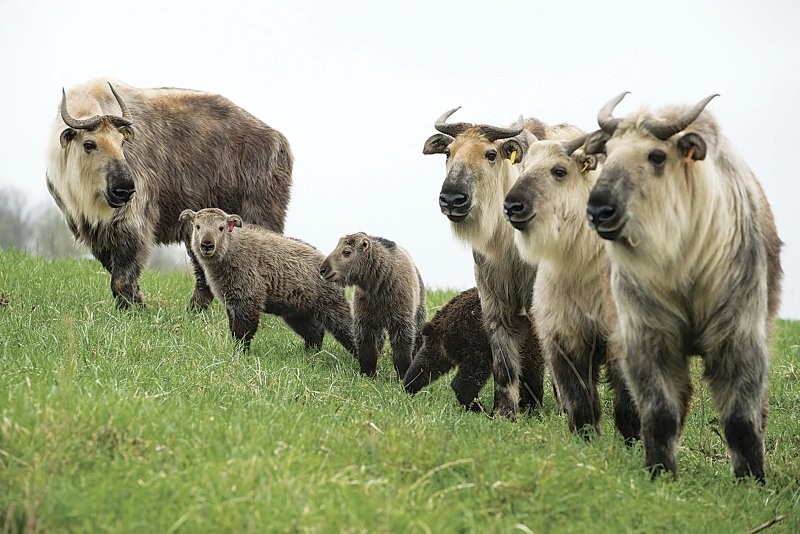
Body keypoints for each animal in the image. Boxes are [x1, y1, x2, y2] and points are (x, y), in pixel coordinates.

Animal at [183, 209, 358, 356]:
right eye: (198, 226)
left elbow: (243, 332)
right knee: (314, 333)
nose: (207, 245)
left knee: (347, 329)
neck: (232, 251)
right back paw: (309, 355)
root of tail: (329, 266)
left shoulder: (248, 299)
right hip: (298, 313)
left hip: (331, 306)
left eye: (221, 227)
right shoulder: (231, 302)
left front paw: (241, 354)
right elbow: (234, 330)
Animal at [322, 233, 428, 382]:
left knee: (417, 337)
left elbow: (402, 348)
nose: (323, 269)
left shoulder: (401, 319)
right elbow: (367, 348)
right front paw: (368, 373)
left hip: (419, 310)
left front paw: (403, 374)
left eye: (346, 252)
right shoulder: (365, 319)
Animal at [580, 94, 780, 484]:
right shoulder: (648, 337)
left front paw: (752, 480)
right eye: (608, 152)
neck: (681, 264)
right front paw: (660, 471)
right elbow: (660, 412)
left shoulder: (738, 336)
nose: (599, 211)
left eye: (657, 156)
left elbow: (740, 417)